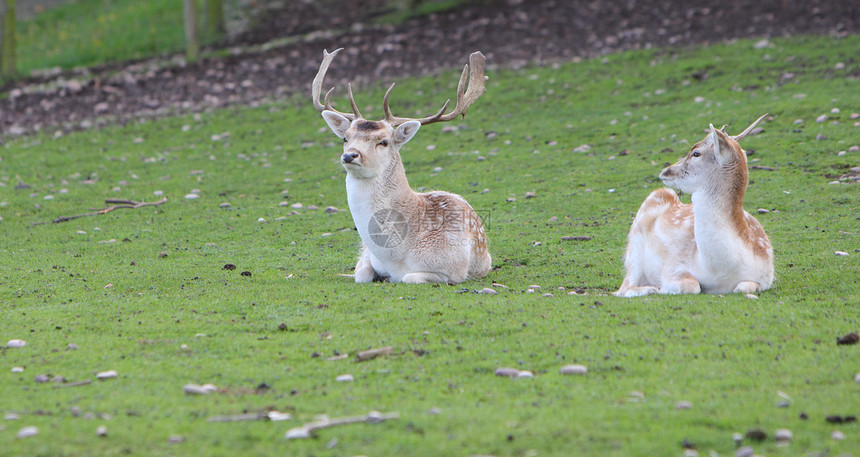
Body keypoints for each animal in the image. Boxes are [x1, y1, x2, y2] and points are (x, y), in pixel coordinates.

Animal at [314, 48, 490, 284]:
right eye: (345, 138)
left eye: (383, 141)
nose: (350, 155)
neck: (395, 256)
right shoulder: (367, 256)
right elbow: (361, 274)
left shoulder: (454, 270)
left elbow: (408, 277)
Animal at [616, 115, 776, 296]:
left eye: (696, 153)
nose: (665, 171)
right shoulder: (672, 265)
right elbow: (693, 285)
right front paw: (660, 288)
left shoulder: (766, 277)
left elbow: (743, 286)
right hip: (634, 246)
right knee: (623, 288)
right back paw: (649, 288)